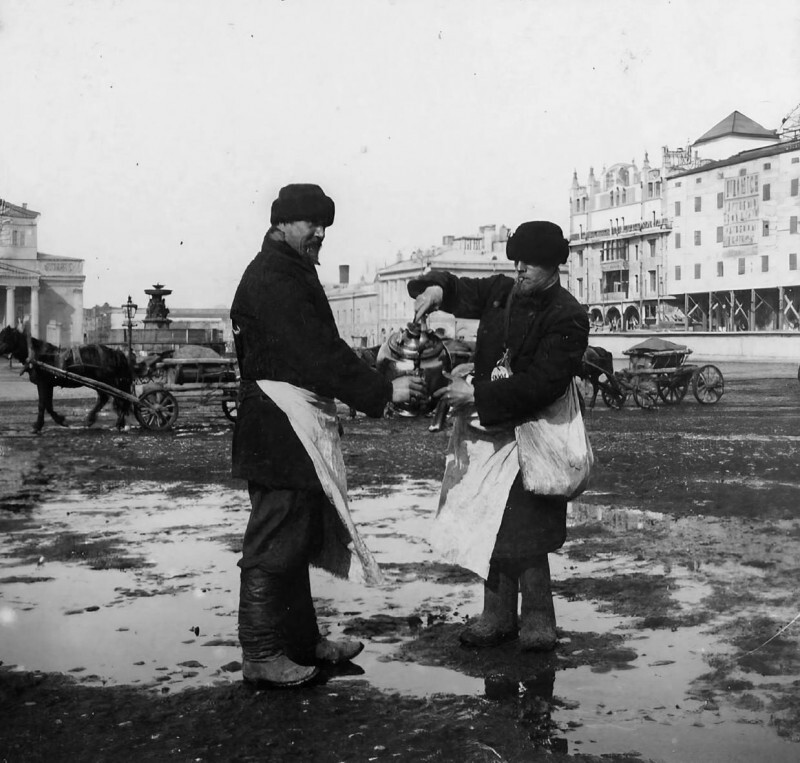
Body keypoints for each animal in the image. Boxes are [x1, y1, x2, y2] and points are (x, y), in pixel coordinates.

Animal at [0, 326, 134, 432]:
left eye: (5, 337)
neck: (38, 356)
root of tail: (114, 352)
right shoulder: (48, 384)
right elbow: (48, 404)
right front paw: (59, 420)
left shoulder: (42, 383)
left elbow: (42, 404)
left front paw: (38, 425)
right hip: (100, 382)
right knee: (104, 398)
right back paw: (91, 419)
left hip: (108, 381)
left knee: (120, 398)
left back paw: (119, 422)